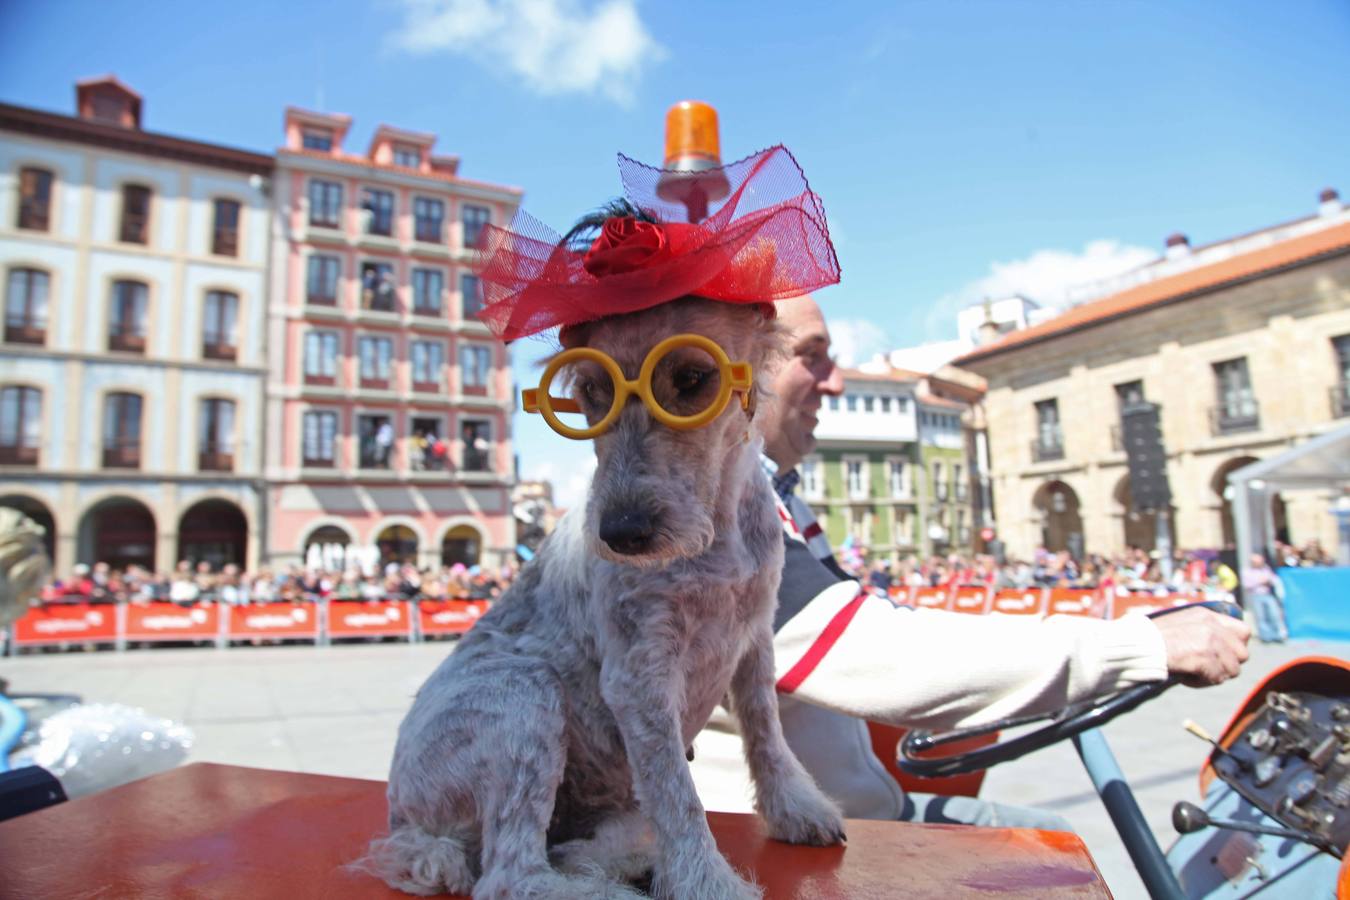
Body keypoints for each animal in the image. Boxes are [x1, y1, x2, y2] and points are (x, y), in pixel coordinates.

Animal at [361, 294, 842, 895]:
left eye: (692, 377)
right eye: (591, 389)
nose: (620, 534)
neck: (719, 532)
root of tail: (405, 824)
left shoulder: (754, 637)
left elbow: (766, 733)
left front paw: (794, 809)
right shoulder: (639, 675)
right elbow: (678, 795)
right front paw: (707, 882)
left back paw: (614, 859)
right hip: (523, 695)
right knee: (510, 875)